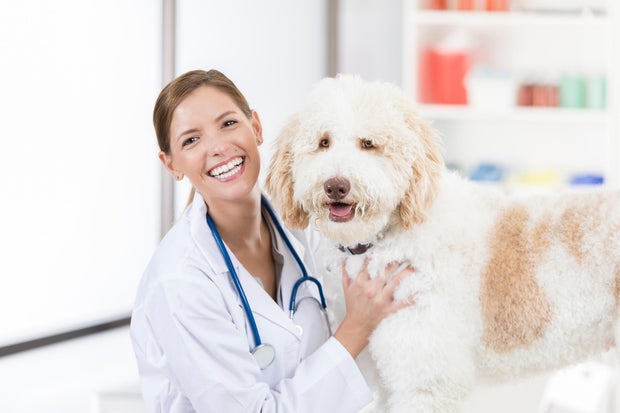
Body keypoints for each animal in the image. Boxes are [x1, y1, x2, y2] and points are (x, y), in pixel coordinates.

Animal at [264, 75, 620, 412]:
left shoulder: (426, 383)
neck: (387, 238)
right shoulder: (387, 382)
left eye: (369, 144)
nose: (336, 185)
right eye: (323, 142)